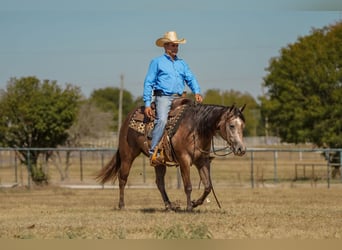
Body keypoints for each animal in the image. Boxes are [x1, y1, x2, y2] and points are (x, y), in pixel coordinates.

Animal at [96, 97, 246, 211]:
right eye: (232, 125)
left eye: (242, 126)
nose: (241, 149)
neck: (195, 129)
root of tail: (128, 118)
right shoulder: (184, 160)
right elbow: (188, 186)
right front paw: (189, 208)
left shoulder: (201, 161)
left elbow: (208, 186)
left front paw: (194, 203)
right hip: (127, 155)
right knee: (122, 178)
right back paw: (122, 205)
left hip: (158, 161)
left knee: (160, 183)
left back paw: (169, 206)